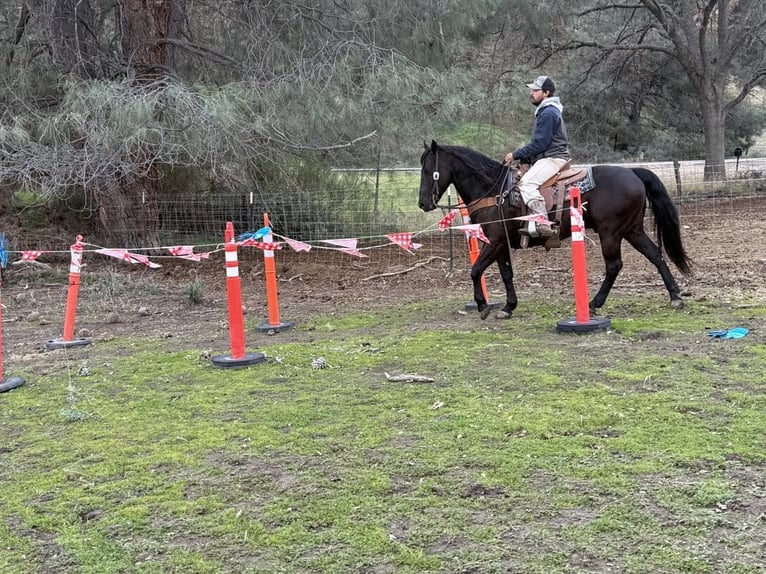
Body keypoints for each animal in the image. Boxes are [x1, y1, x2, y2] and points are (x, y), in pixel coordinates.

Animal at [420, 140, 696, 320]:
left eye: (428, 170)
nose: (423, 203)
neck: (494, 190)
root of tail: (634, 174)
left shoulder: (495, 240)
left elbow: (475, 270)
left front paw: (482, 306)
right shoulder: (500, 243)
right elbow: (506, 274)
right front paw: (508, 307)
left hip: (611, 233)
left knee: (614, 266)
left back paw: (594, 303)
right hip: (632, 230)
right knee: (655, 255)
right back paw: (675, 296)